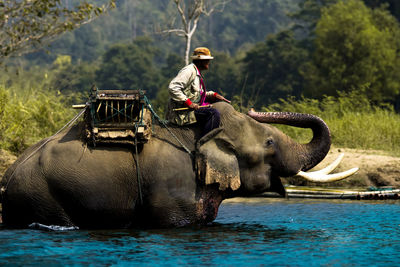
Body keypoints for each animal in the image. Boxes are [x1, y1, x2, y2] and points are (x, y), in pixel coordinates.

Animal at [0, 101, 356, 229]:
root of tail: (9, 174)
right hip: (43, 195)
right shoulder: (174, 190)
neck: (199, 133)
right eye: (269, 143)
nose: (254, 108)